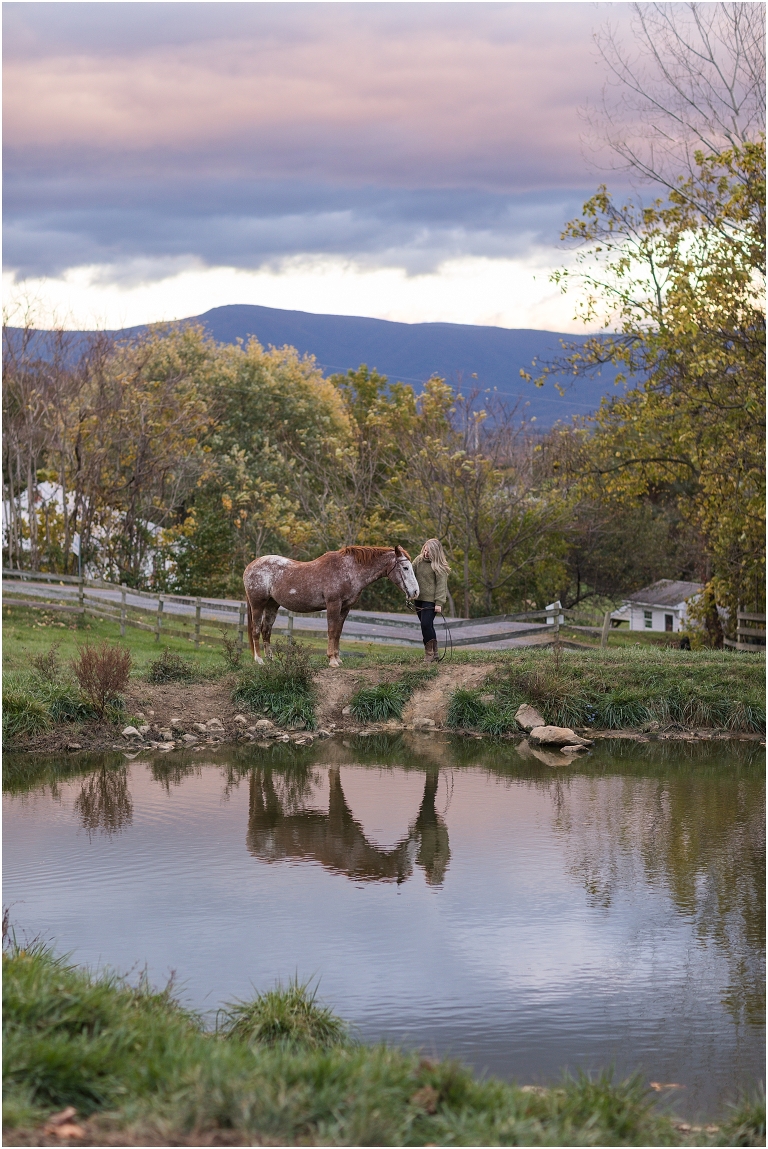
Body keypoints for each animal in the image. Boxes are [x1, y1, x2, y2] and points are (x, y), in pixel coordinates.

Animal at [243, 544, 420, 667]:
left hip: (272, 605)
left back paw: (271, 659)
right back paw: (259, 660)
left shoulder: (345, 608)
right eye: (405, 567)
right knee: (256, 630)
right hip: (258, 604)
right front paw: (332, 660)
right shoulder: (333, 604)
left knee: (266, 630)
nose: (415, 592)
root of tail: (250, 566)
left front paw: (338, 658)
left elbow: (338, 632)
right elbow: (332, 630)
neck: (348, 570)